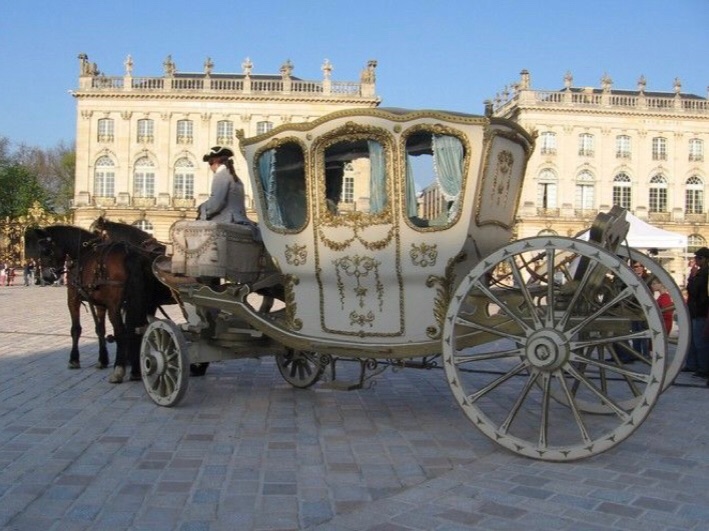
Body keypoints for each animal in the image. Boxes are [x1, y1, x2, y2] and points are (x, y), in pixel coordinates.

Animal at [24, 225, 151, 383]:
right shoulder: (100, 304)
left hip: (115, 306)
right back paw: (136, 371)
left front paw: (74, 360)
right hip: (138, 302)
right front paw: (102, 359)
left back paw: (118, 370)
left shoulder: (73, 298)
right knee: (138, 329)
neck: (82, 253)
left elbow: (75, 329)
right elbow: (100, 329)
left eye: (46, 251)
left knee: (121, 331)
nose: (46, 278)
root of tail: (129, 254)